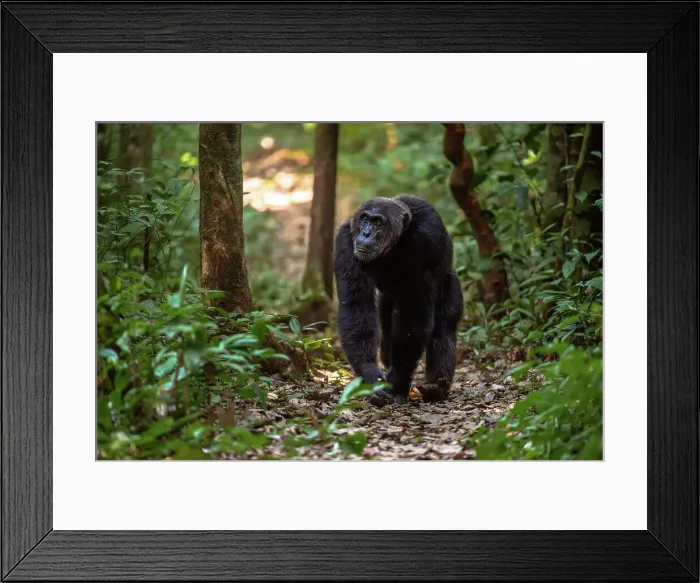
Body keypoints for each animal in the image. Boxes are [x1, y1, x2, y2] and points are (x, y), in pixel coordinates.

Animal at [333, 194, 463, 406]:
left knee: (444, 324)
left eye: (378, 222)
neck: (393, 245)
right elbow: (357, 305)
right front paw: (370, 374)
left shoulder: (426, 241)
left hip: (449, 279)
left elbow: (415, 314)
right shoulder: (345, 241)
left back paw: (436, 387)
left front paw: (397, 381)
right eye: (365, 219)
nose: (366, 233)